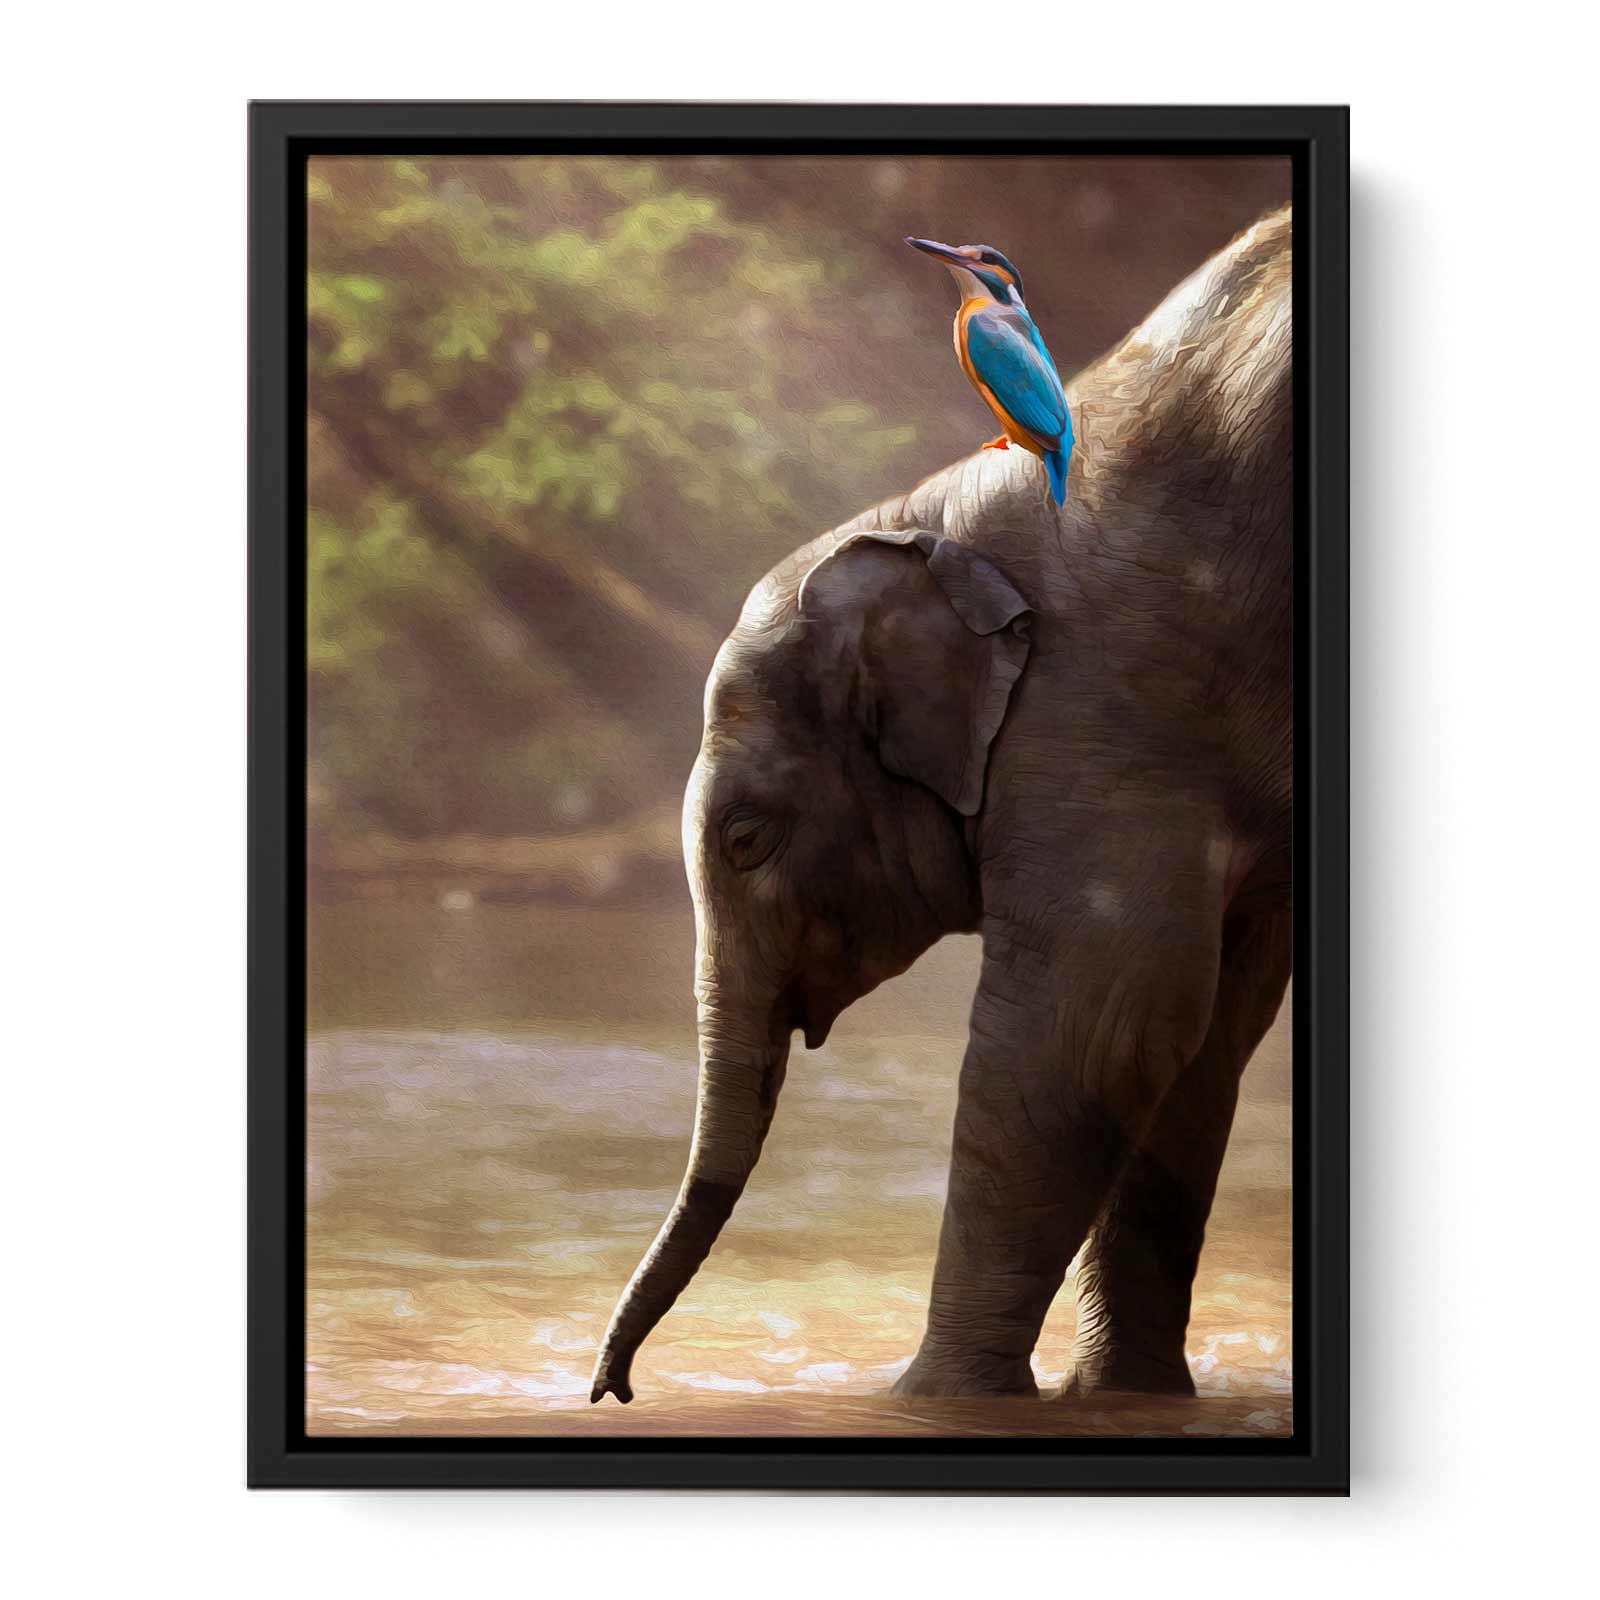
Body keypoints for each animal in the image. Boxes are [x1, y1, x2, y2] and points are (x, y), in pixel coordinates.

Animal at [591, 205, 1294, 1405]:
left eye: (745, 839)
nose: (614, 1388)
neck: (929, 512)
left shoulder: (1112, 707)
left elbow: (1101, 1020)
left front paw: (930, 1400)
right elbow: (1202, 1039)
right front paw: (1123, 1398)